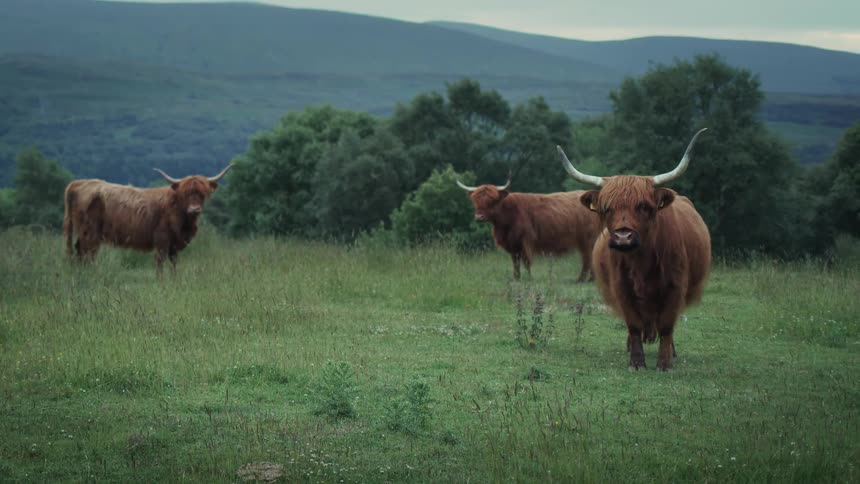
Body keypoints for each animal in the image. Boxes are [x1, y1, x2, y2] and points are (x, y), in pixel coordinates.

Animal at [63, 165, 231, 276]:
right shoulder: (162, 240)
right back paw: (90, 274)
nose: (194, 209)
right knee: (88, 253)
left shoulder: (174, 244)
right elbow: (160, 262)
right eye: (185, 193)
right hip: (90, 233)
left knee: (79, 250)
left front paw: (174, 280)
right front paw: (161, 282)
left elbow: (174, 262)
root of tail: (79, 183)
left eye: (203, 194)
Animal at [456, 176, 601, 282]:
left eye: (492, 200)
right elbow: (515, 262)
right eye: (475, 200)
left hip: (588, 240)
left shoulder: (525, 241)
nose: (479, 217)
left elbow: (526, 261)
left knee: (587, 258)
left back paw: (583, 279)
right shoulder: (512, 244)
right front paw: (517, 278)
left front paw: (529, 278)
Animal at [557, 128, 711, 371]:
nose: (623, 237)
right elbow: (633, 324)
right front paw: (636, 362)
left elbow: (667, 325)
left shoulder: (675, 287)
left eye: (644, 206)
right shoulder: (622, 289)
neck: (641, 263)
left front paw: (665, 363)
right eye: (606, 208)